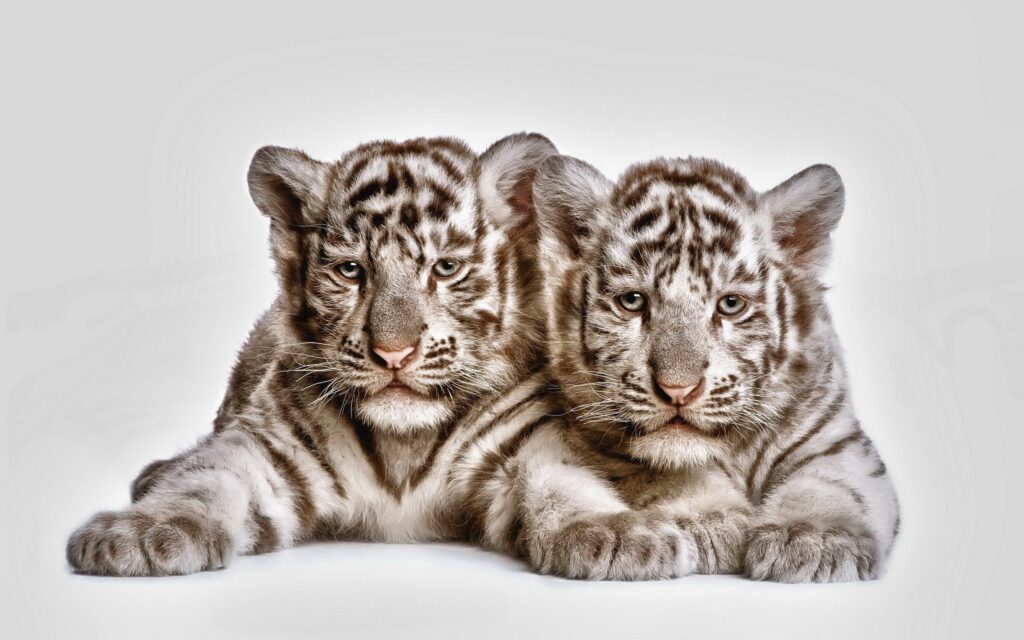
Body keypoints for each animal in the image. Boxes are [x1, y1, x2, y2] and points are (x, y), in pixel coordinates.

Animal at [65, 133, 561, 576]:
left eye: (446, 268)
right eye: (351, 271)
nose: (393, 353)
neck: (402, 444)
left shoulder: (525, 437)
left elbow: (555, 479)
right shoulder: (268, 447)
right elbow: (205, 478)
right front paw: (137, 534)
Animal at [461, 153, 900, 582]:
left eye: (730, 304)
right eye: (633, 301)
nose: (678, 390)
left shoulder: (837, 439)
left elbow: (834, 484)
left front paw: (814, 538)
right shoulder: (597, 446)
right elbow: (667, 475)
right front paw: (711, 521)